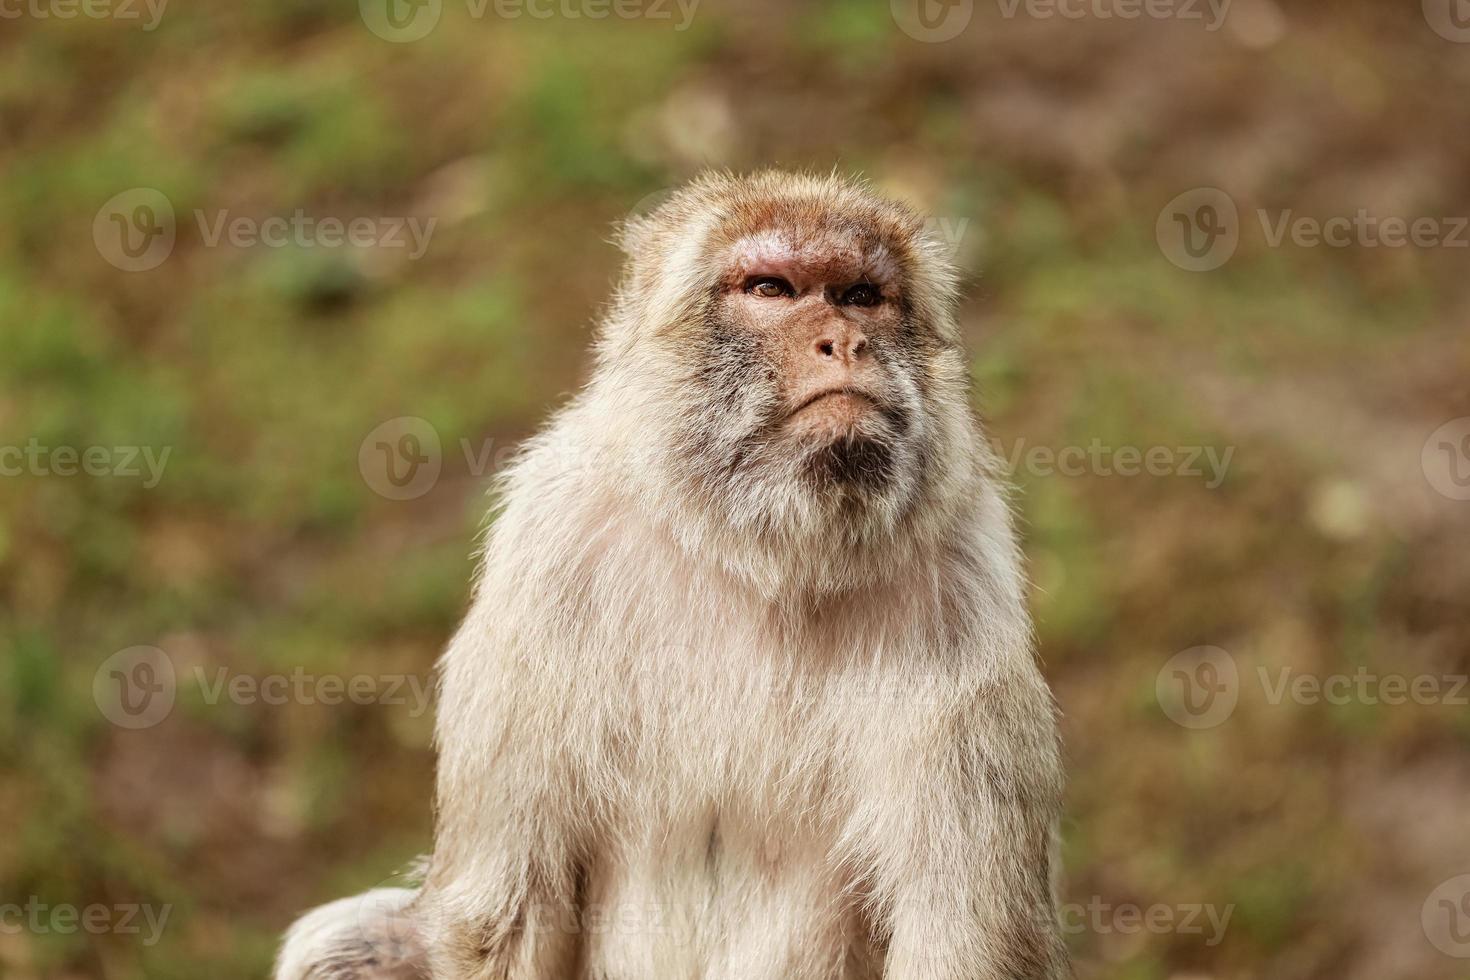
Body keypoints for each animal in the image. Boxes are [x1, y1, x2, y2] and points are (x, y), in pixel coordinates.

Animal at [276, 172, 1070, 975]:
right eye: (771, 288)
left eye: (860, 295)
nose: (847, 341)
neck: (764, 556)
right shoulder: (546, 556)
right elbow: (505, 916)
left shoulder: (963, 594)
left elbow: (961, 939)